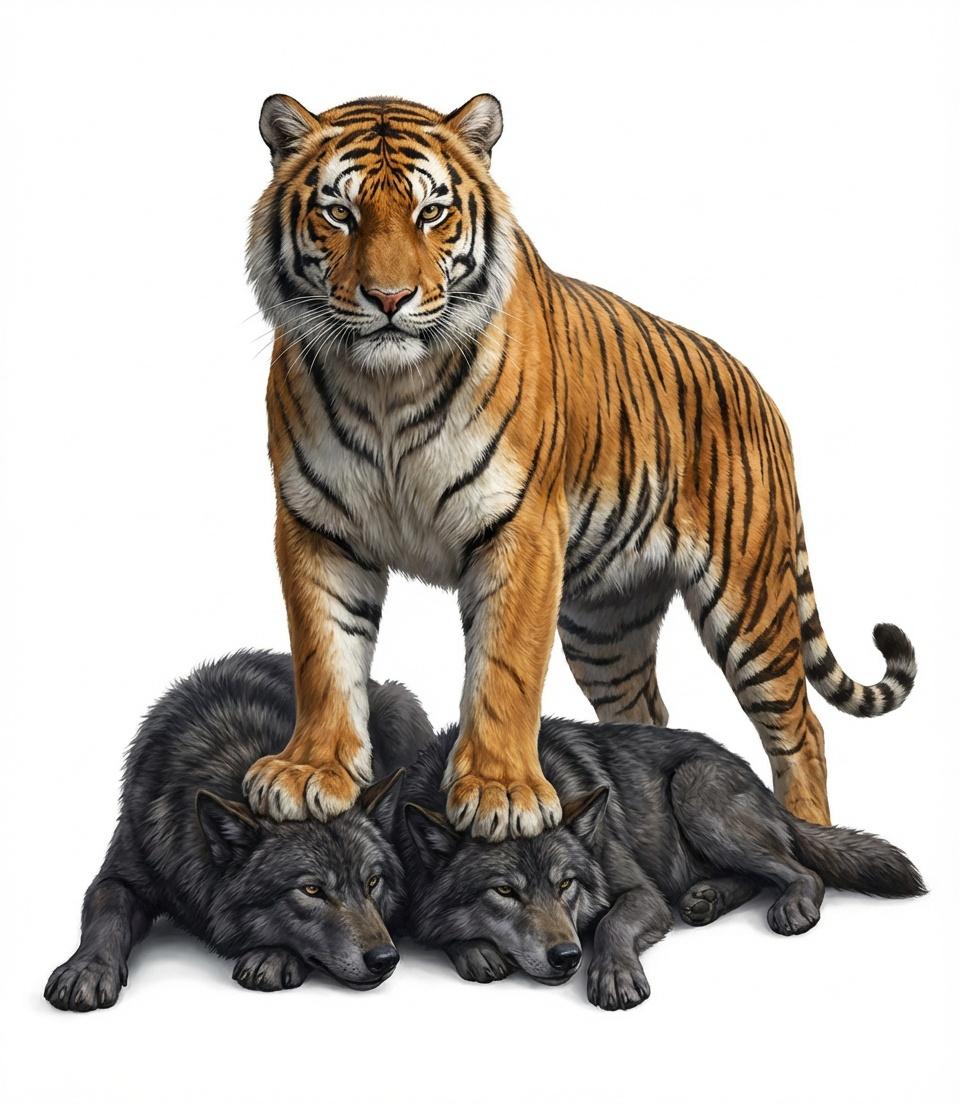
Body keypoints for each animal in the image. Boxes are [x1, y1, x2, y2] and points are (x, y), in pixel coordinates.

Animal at [243, 91, 916, 840]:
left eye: (432, 212)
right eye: (340, 213)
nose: (388, 299)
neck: (387, 387)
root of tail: (762, 394)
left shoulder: (522, 527)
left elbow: (505, 668)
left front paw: (501, 792)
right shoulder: (317, 525)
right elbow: (323, 656)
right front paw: (309, 772)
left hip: (752, 604)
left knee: (801, 729)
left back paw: (814, 835)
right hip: (606, 625)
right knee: (647, 712)